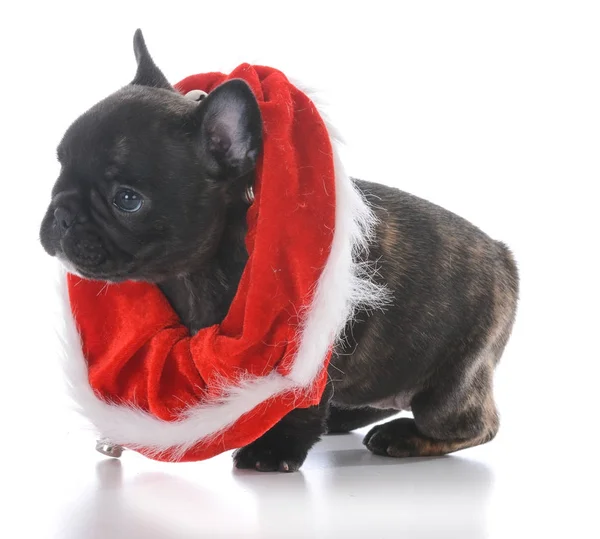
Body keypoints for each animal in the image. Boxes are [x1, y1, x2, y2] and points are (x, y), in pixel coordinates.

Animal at [38, 31, 516, 474]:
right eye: (59, 166)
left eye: (127, 199)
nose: (62, 213)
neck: (193, 272)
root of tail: (503, 256)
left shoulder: (306, 347)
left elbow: (300, 404)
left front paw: (274, 450)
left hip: (453, 381)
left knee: (473, 425)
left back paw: (403, 436)